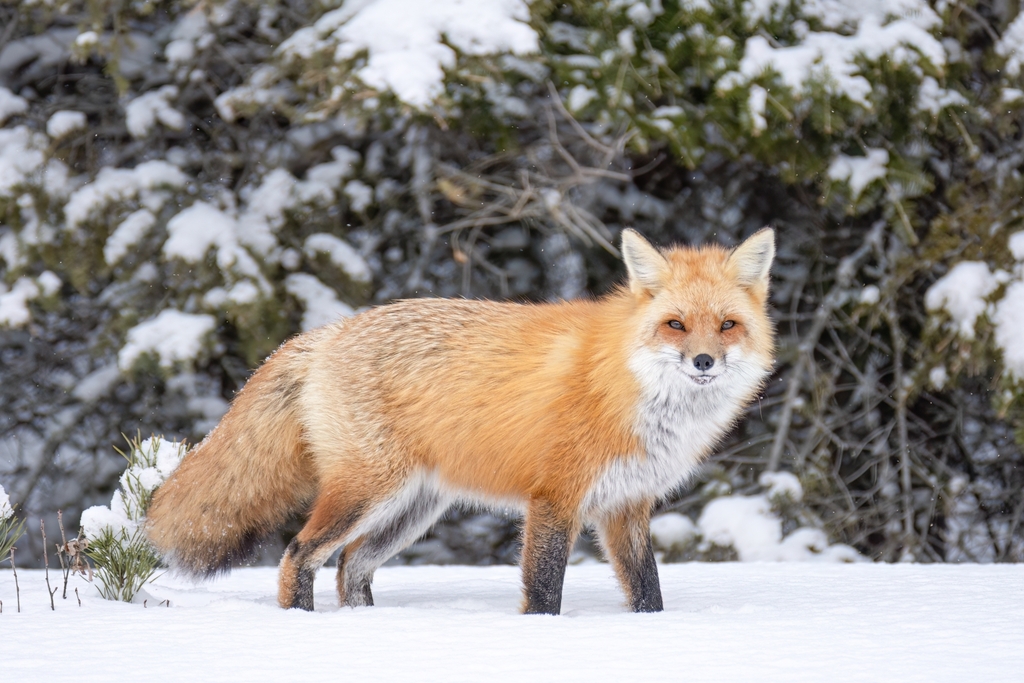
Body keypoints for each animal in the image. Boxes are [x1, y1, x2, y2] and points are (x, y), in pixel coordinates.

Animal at [146, 228, 775, 615]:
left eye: (726, 326)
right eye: (675, 324)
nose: (703, 362)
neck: (628, 387)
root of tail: (324, 333)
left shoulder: (626, 505)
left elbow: (648, 594)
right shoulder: (555, 498)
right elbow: (543, 591)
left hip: (414, 507)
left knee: (350, 566)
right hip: (368, 490)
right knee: (300, 554)